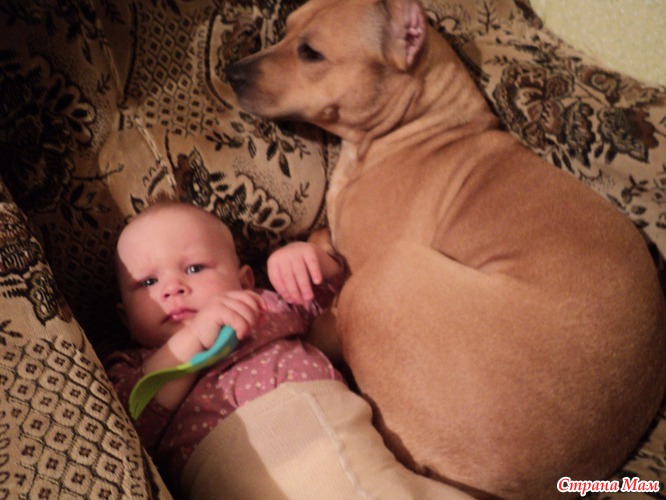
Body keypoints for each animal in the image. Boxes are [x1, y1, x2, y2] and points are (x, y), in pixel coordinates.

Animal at [225, 0, 666, 496]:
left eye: (311, 53)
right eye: (285, 29)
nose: (230, 72)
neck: (419, 124)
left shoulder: (359, 269)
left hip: (384, 278)